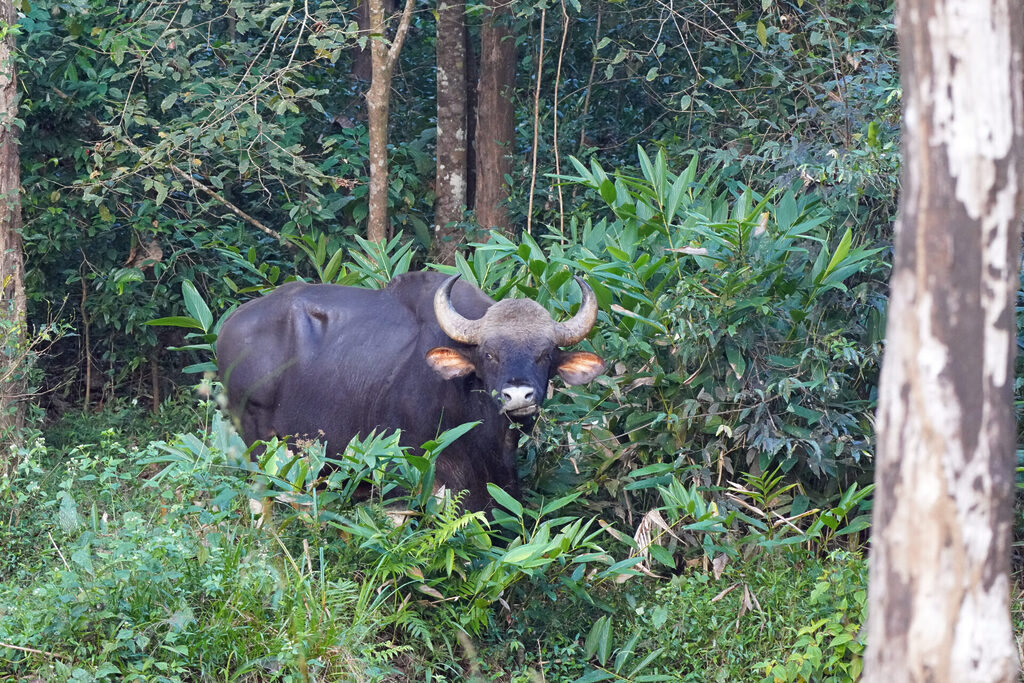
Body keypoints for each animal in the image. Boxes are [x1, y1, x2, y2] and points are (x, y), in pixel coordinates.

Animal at [216, 271, 606, 511]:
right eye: (489, 354)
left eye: (545, 354)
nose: (519, 396)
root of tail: (229, 327)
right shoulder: (402, 482)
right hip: (261, 450)